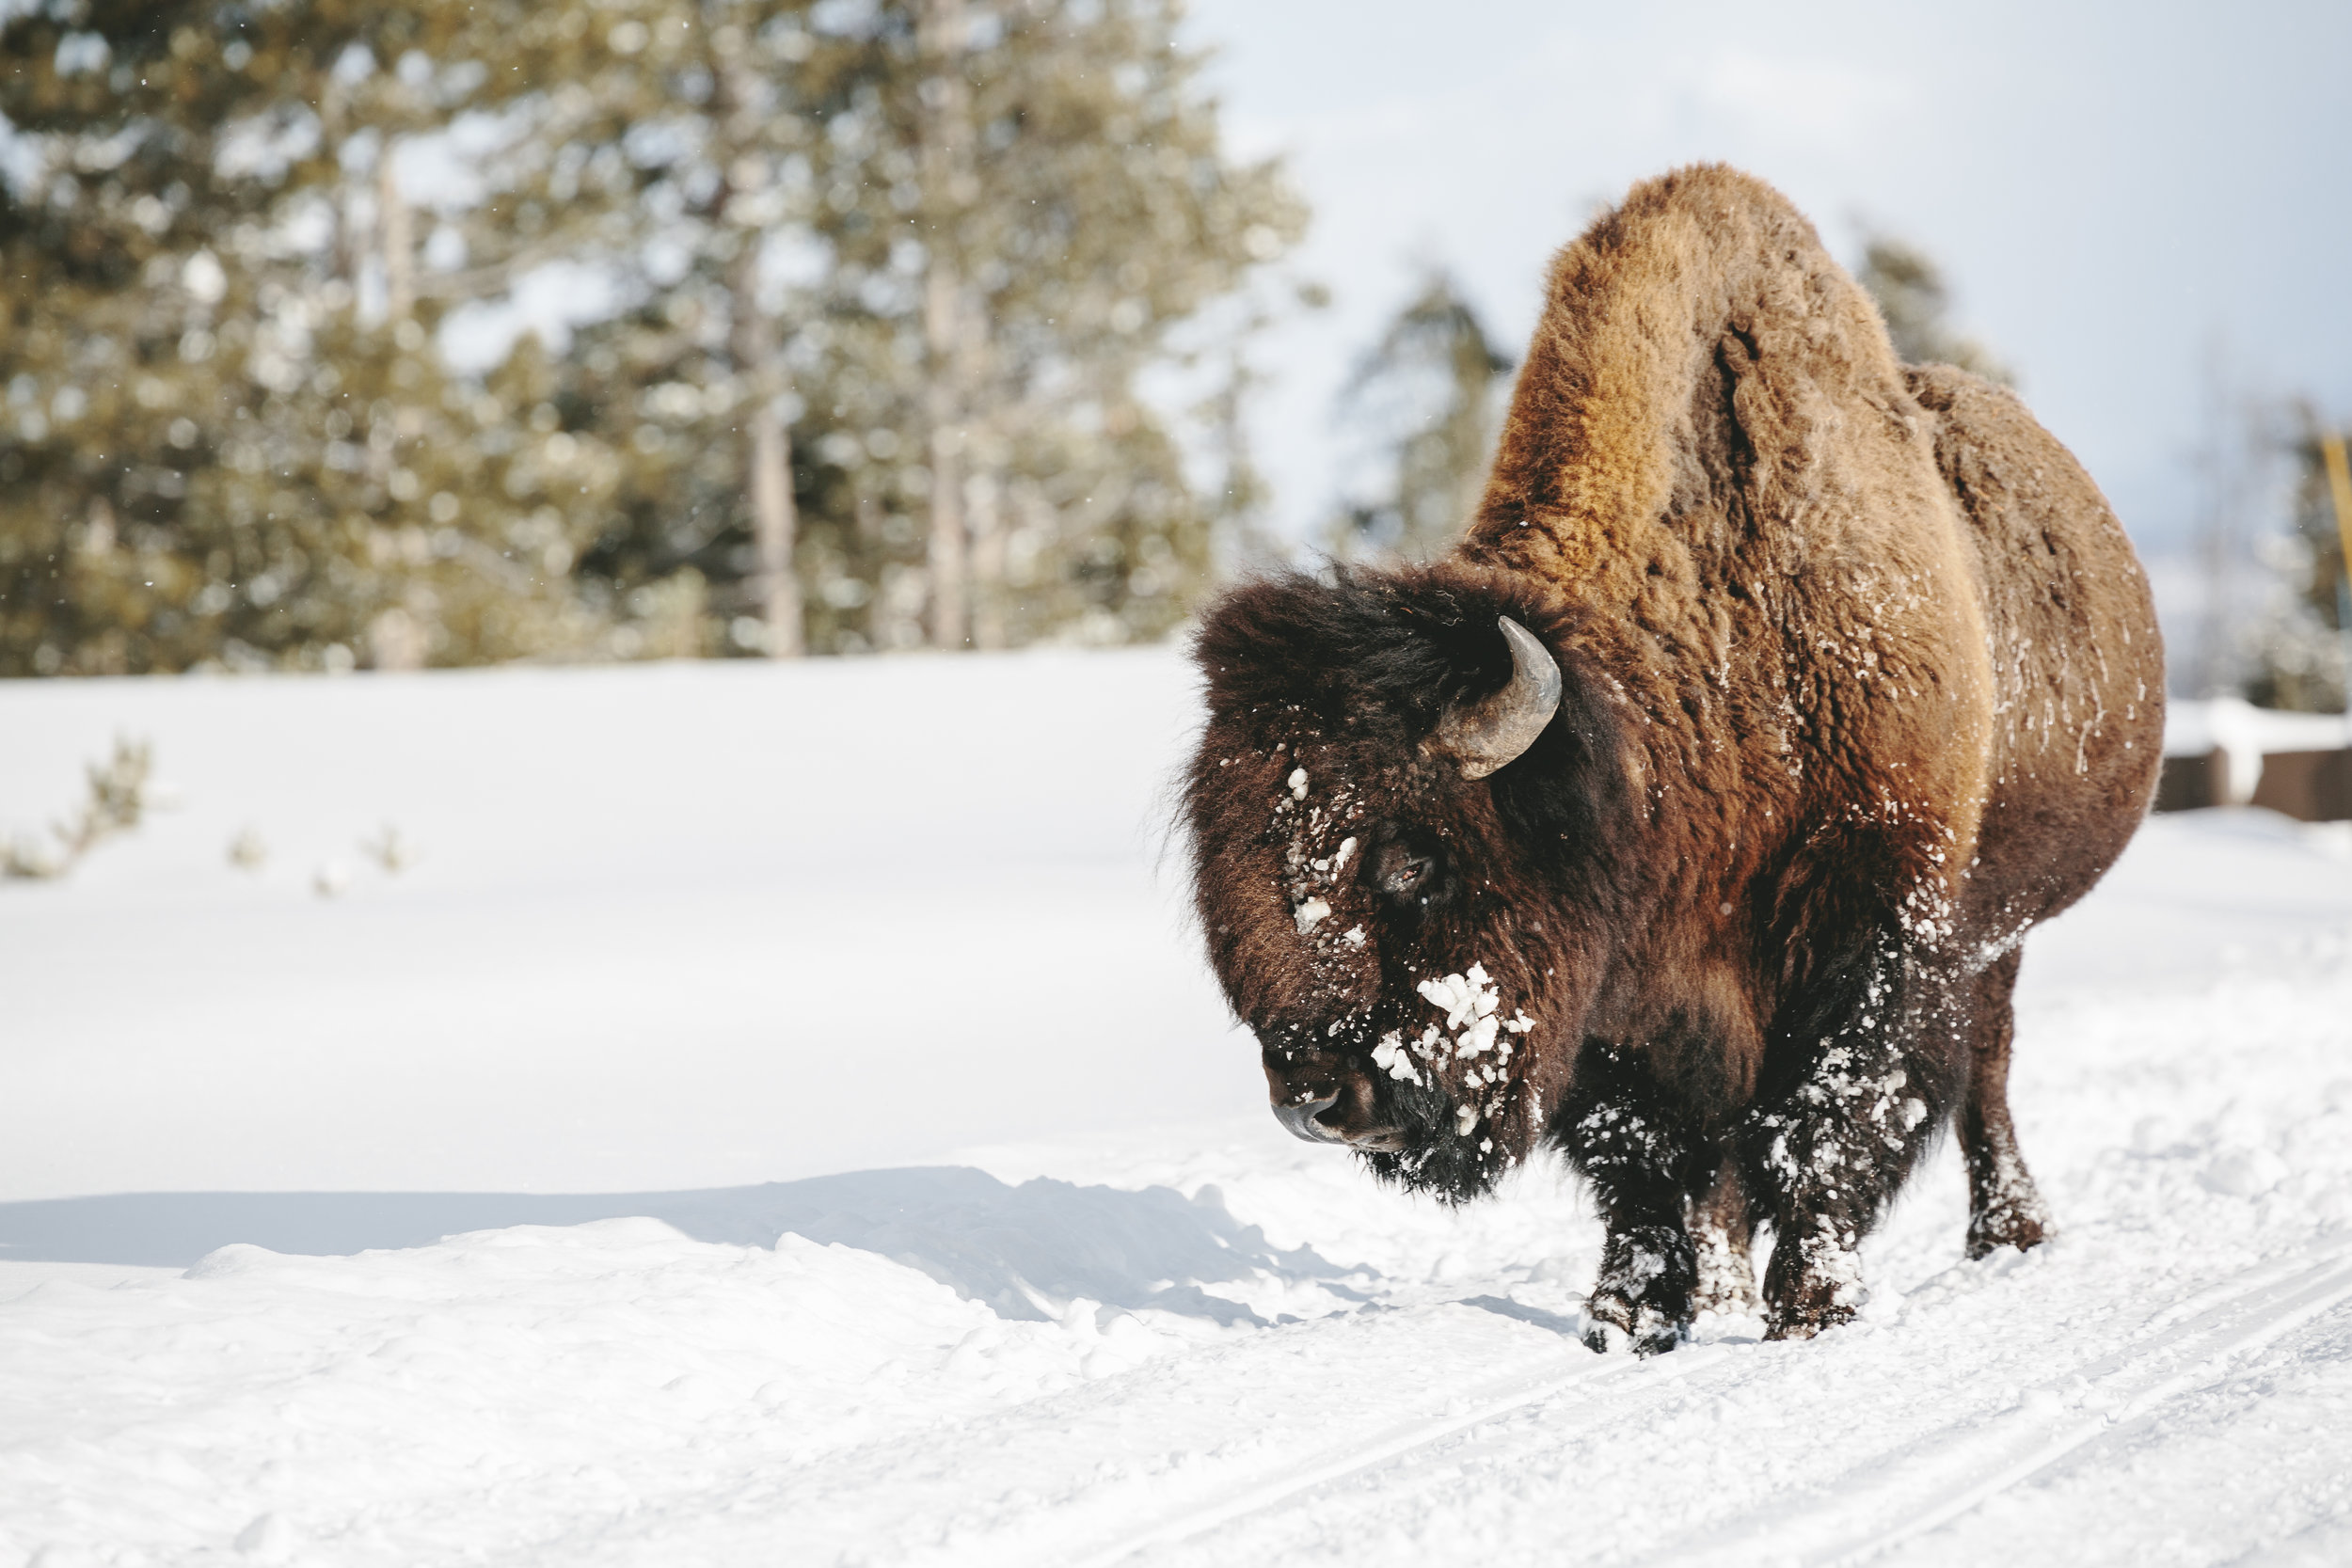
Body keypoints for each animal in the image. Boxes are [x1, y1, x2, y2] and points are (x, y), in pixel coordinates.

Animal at [1185, 168, 2154, 1354]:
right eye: (1236, 861)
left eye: (1414, 858)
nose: (1319, 1099)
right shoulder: (1625, 995)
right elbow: (1652, 1156)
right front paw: (1627, 1315)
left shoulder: (1876, 922)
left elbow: (1827, 1117)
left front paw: (1813, 1307)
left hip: (1998, 933)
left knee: (1988, 1070)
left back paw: (2008, 1233)